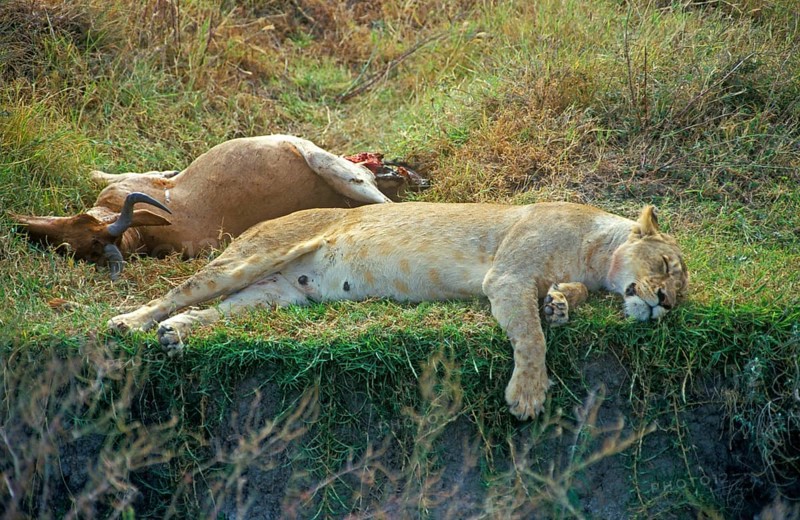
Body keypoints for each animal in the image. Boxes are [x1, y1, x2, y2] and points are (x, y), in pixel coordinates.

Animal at [108, 202, 688, 420]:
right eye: (665, 264)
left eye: (679, 295)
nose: (662, 304)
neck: (594, 252)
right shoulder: (507, 276)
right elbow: (530, 336)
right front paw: (527, 395)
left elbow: (565, 302)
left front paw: (561, 304)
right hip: (255, 256)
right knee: (182, 292)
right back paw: (130, 322)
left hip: (273, 294)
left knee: (217, 310)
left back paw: (175, 335)